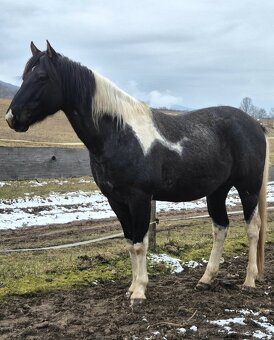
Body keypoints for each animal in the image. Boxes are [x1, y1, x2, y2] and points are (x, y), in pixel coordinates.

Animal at [5, 41, 268, 304]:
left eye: (42, 76)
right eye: (24, 76)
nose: (11, 117)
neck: (120, 133)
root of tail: (256, 125)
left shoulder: (139, 198)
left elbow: (141, 244)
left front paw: (140, 292)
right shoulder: (116, 201)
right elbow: (130, 243)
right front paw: (131, 289)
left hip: (248, 188)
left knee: (253, 228)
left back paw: (249, 281)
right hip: (217, 191)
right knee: (220, 228)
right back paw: (205, 279)